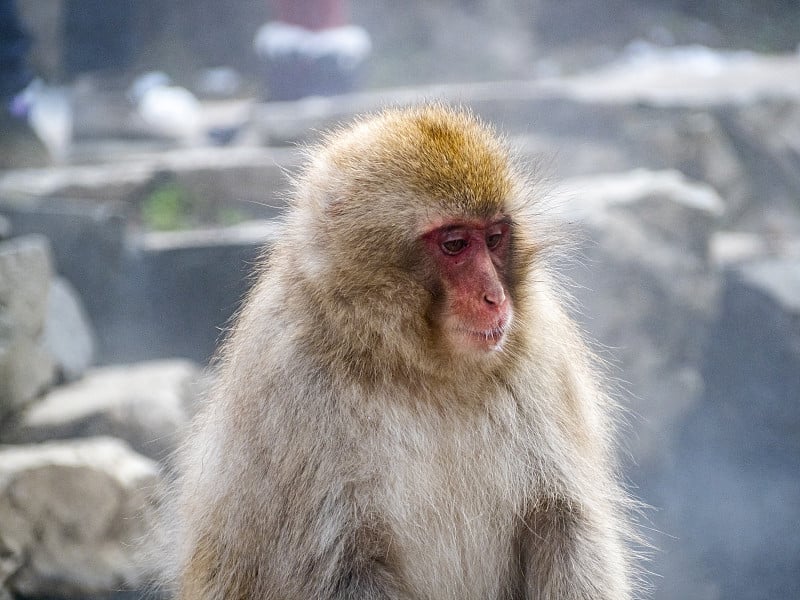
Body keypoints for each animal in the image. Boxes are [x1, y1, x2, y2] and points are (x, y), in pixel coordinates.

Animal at [172, 105, 640, 596]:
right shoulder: (286, 384)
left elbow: (564, 522)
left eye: (494, 238)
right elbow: (337, 567)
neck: (421, 369)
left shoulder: (545, 357)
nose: (496, 297)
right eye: (455, 244)